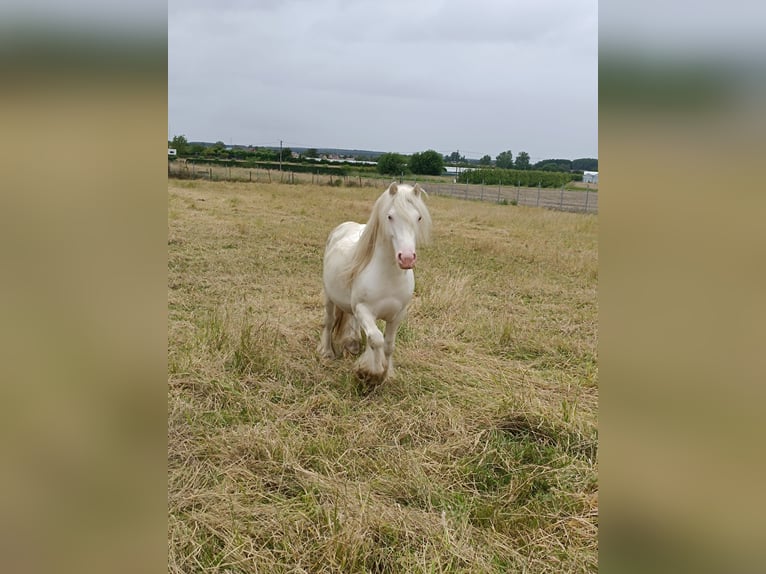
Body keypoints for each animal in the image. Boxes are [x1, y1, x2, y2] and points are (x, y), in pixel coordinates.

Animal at [320, 182, 436, 384]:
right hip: (329, 296)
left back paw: (353, 344)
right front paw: (369, 372)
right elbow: (376, 339)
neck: (388, 276)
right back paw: (327, 353)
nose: (407, 258)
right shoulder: (364, 310)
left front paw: (387, 374)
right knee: (329, 321)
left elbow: (388, 344)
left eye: (419, 217)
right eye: (390, 216)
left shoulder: (397, 315)